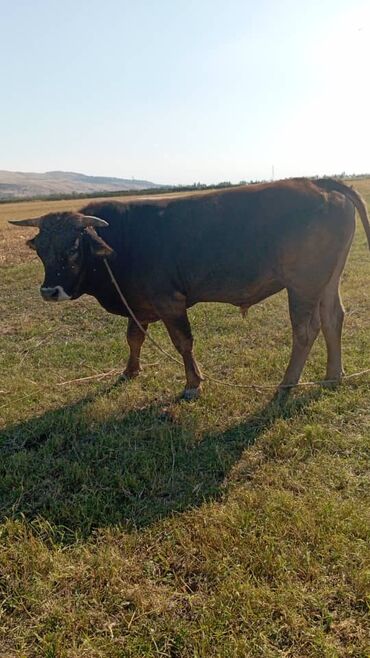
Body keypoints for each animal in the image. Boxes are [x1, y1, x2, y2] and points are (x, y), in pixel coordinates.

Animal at [9, 177, 370, 398]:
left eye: (72, 248)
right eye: (40, 249)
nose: (49, 291)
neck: (122, 240)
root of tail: (318, 181)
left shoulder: (169, 302)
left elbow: (183, 342)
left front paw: (193, 383)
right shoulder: (139, 304)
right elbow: (134, 338)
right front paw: (130, 371)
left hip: (303, 285)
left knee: (305, 330)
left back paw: (286, 384)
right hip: (327, 281)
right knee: (333, 318)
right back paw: (333, 375)